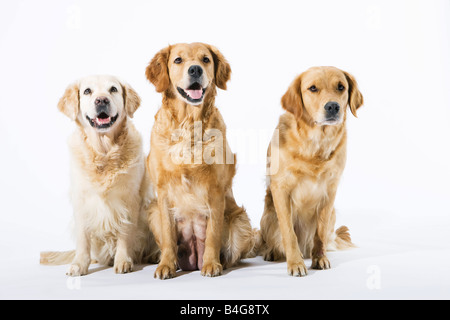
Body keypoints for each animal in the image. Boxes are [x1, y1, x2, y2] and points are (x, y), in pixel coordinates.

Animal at [40, 75, 160, 278]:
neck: (104, 151)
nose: (102, 100)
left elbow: (124, 232)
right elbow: (82, 239)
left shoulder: (129, 200)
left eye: (113, 89)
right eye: (87, 91)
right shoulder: (81, 201)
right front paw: (79, 264)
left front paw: (123, 260)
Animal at [145, 43, 256, 278]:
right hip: (152, 212)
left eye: (205, 59)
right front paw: (165, 265)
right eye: (178, 60)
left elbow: (213, 233)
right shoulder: (163, 193)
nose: (195, 69)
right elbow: (168, 237)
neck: (189, 124)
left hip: (240, 221)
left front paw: (212, 264)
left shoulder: (215, 190)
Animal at [260, 67, 362, 276]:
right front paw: (295, 264)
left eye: (341, 87)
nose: (333, 107)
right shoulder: (280, 189)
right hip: (268, 214)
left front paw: (320, 259)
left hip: (333, 214)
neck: (315, 143)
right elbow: (288, 233)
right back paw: (272, 252)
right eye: (313, 88)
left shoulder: (329, 191)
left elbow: (320, 233)